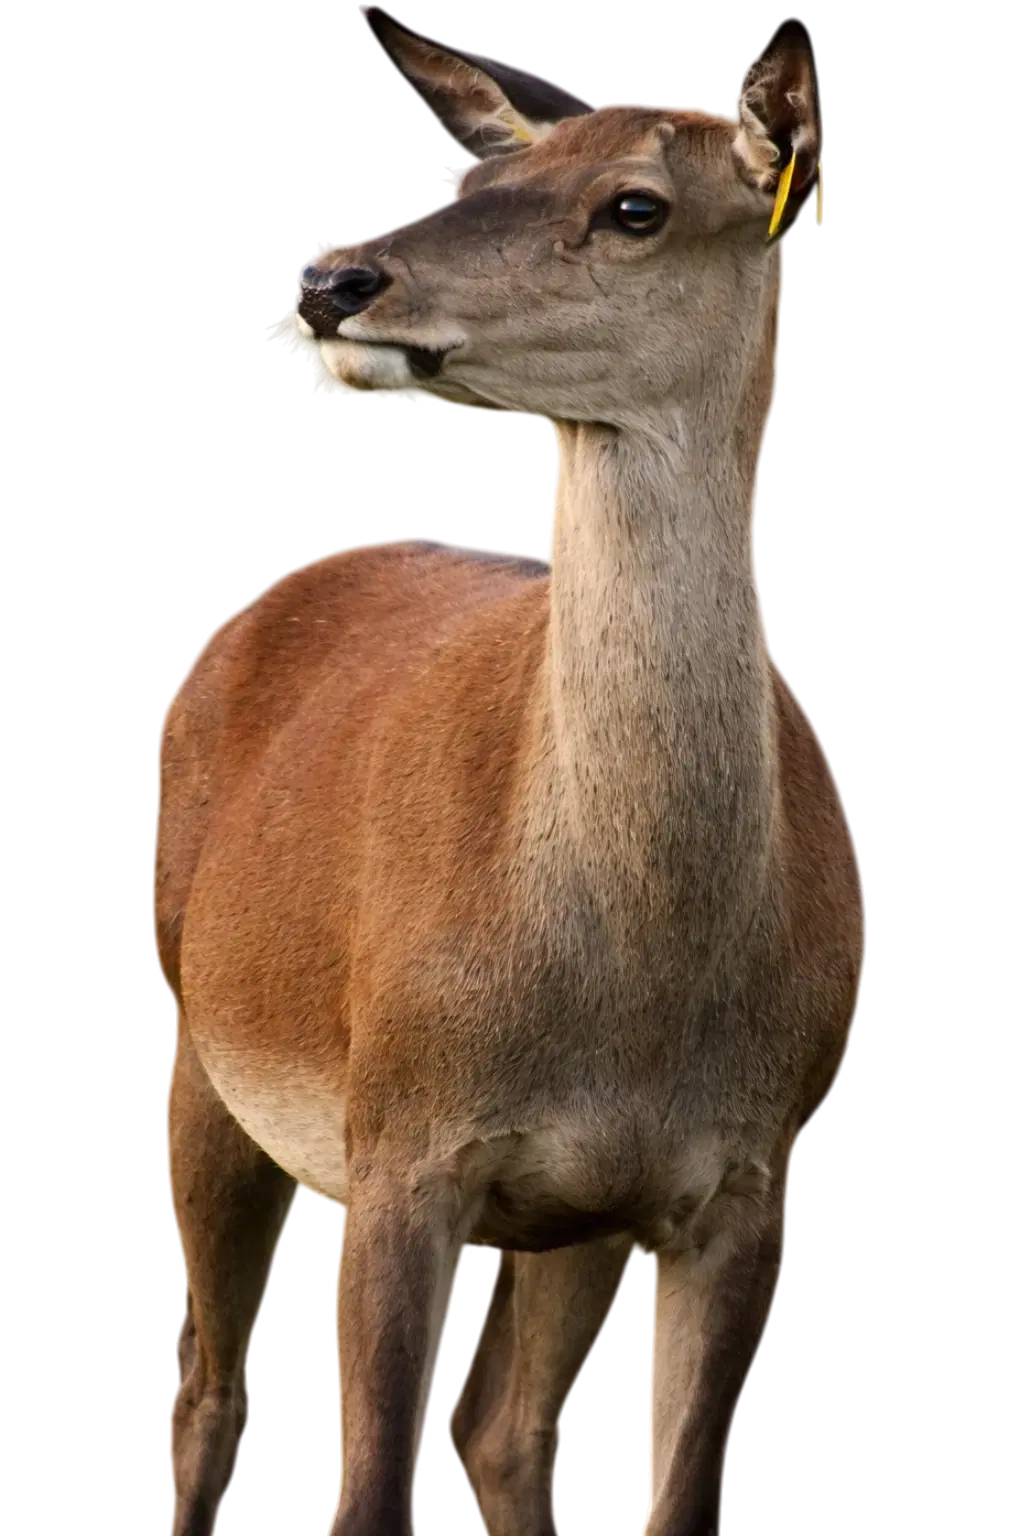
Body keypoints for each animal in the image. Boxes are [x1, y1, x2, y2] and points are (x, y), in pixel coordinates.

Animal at [157, 7, 864, 1534]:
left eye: (637, 206)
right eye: (474, 179)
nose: (331, 277)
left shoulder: (747, 1177)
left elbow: (674, 1501)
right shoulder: (398, 1140)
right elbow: (366, 1497)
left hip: (566, 1211)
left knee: (498, 1424)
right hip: (199, 1041)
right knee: (206, 1385)